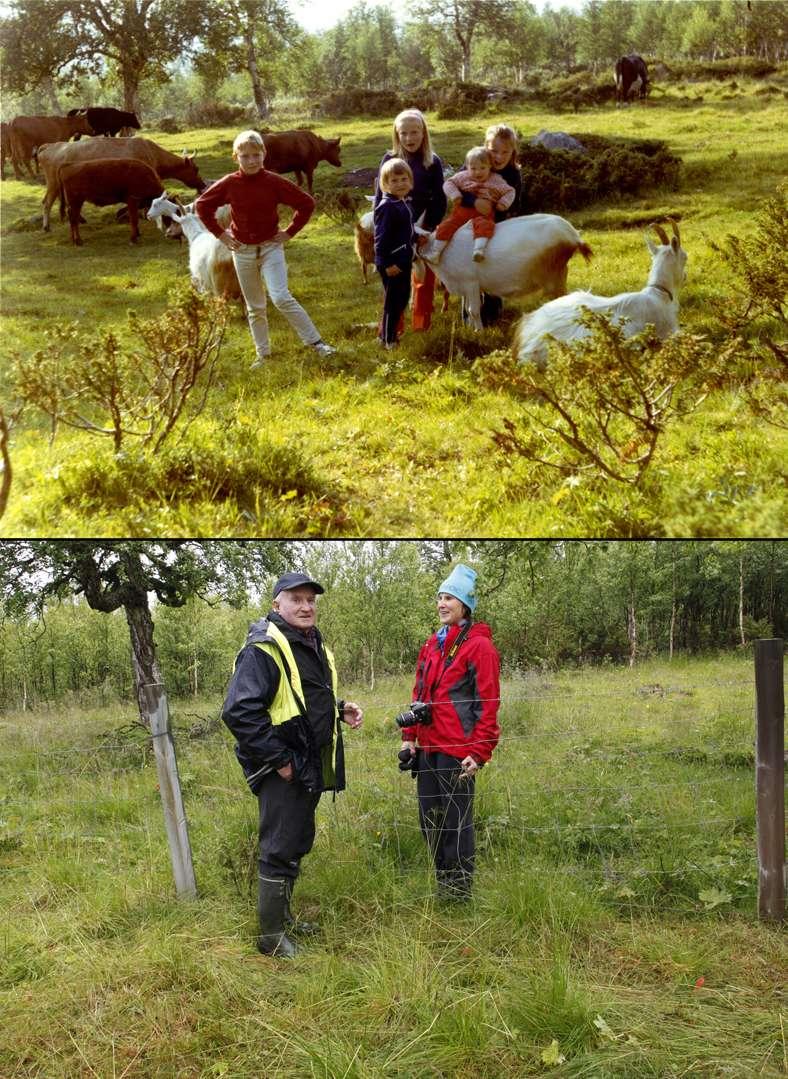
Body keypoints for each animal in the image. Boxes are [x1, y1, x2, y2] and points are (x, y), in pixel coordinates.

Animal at [37, 135, 204, 230]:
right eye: (196, 168)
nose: (202, 185)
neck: (152, 153)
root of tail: (50, 146)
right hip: (53, 184)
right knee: (47, 202)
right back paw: (46, 226)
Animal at [416, 210, 587, 328]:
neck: (443, 250)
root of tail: (573, 235)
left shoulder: (470, 283)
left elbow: (473, 310)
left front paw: (479, 332)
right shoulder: (468, 288)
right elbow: (468, 311)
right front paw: (471, 330)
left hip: (552, 279)